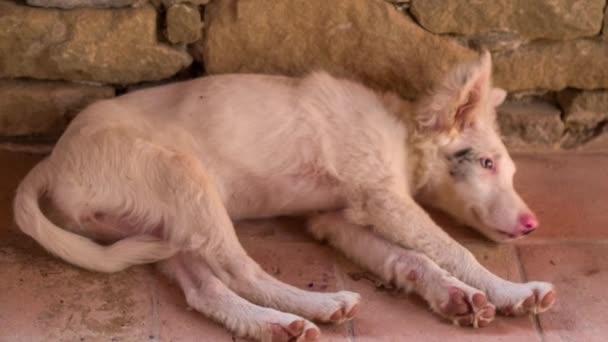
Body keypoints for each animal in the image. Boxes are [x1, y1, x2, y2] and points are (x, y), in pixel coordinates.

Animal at [13, 51, 556, 342]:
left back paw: (276, 323)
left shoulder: (335, 216)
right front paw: (509, 291)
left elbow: (411, 259)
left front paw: (459, 296)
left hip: (158, 228)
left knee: (206, 290)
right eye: (486, 164)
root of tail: (52, 162)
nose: (532, 224)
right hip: (185, 178)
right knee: (242, 272)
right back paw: (318, 305)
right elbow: (453, 249)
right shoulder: (384, 199)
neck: (401, 130)